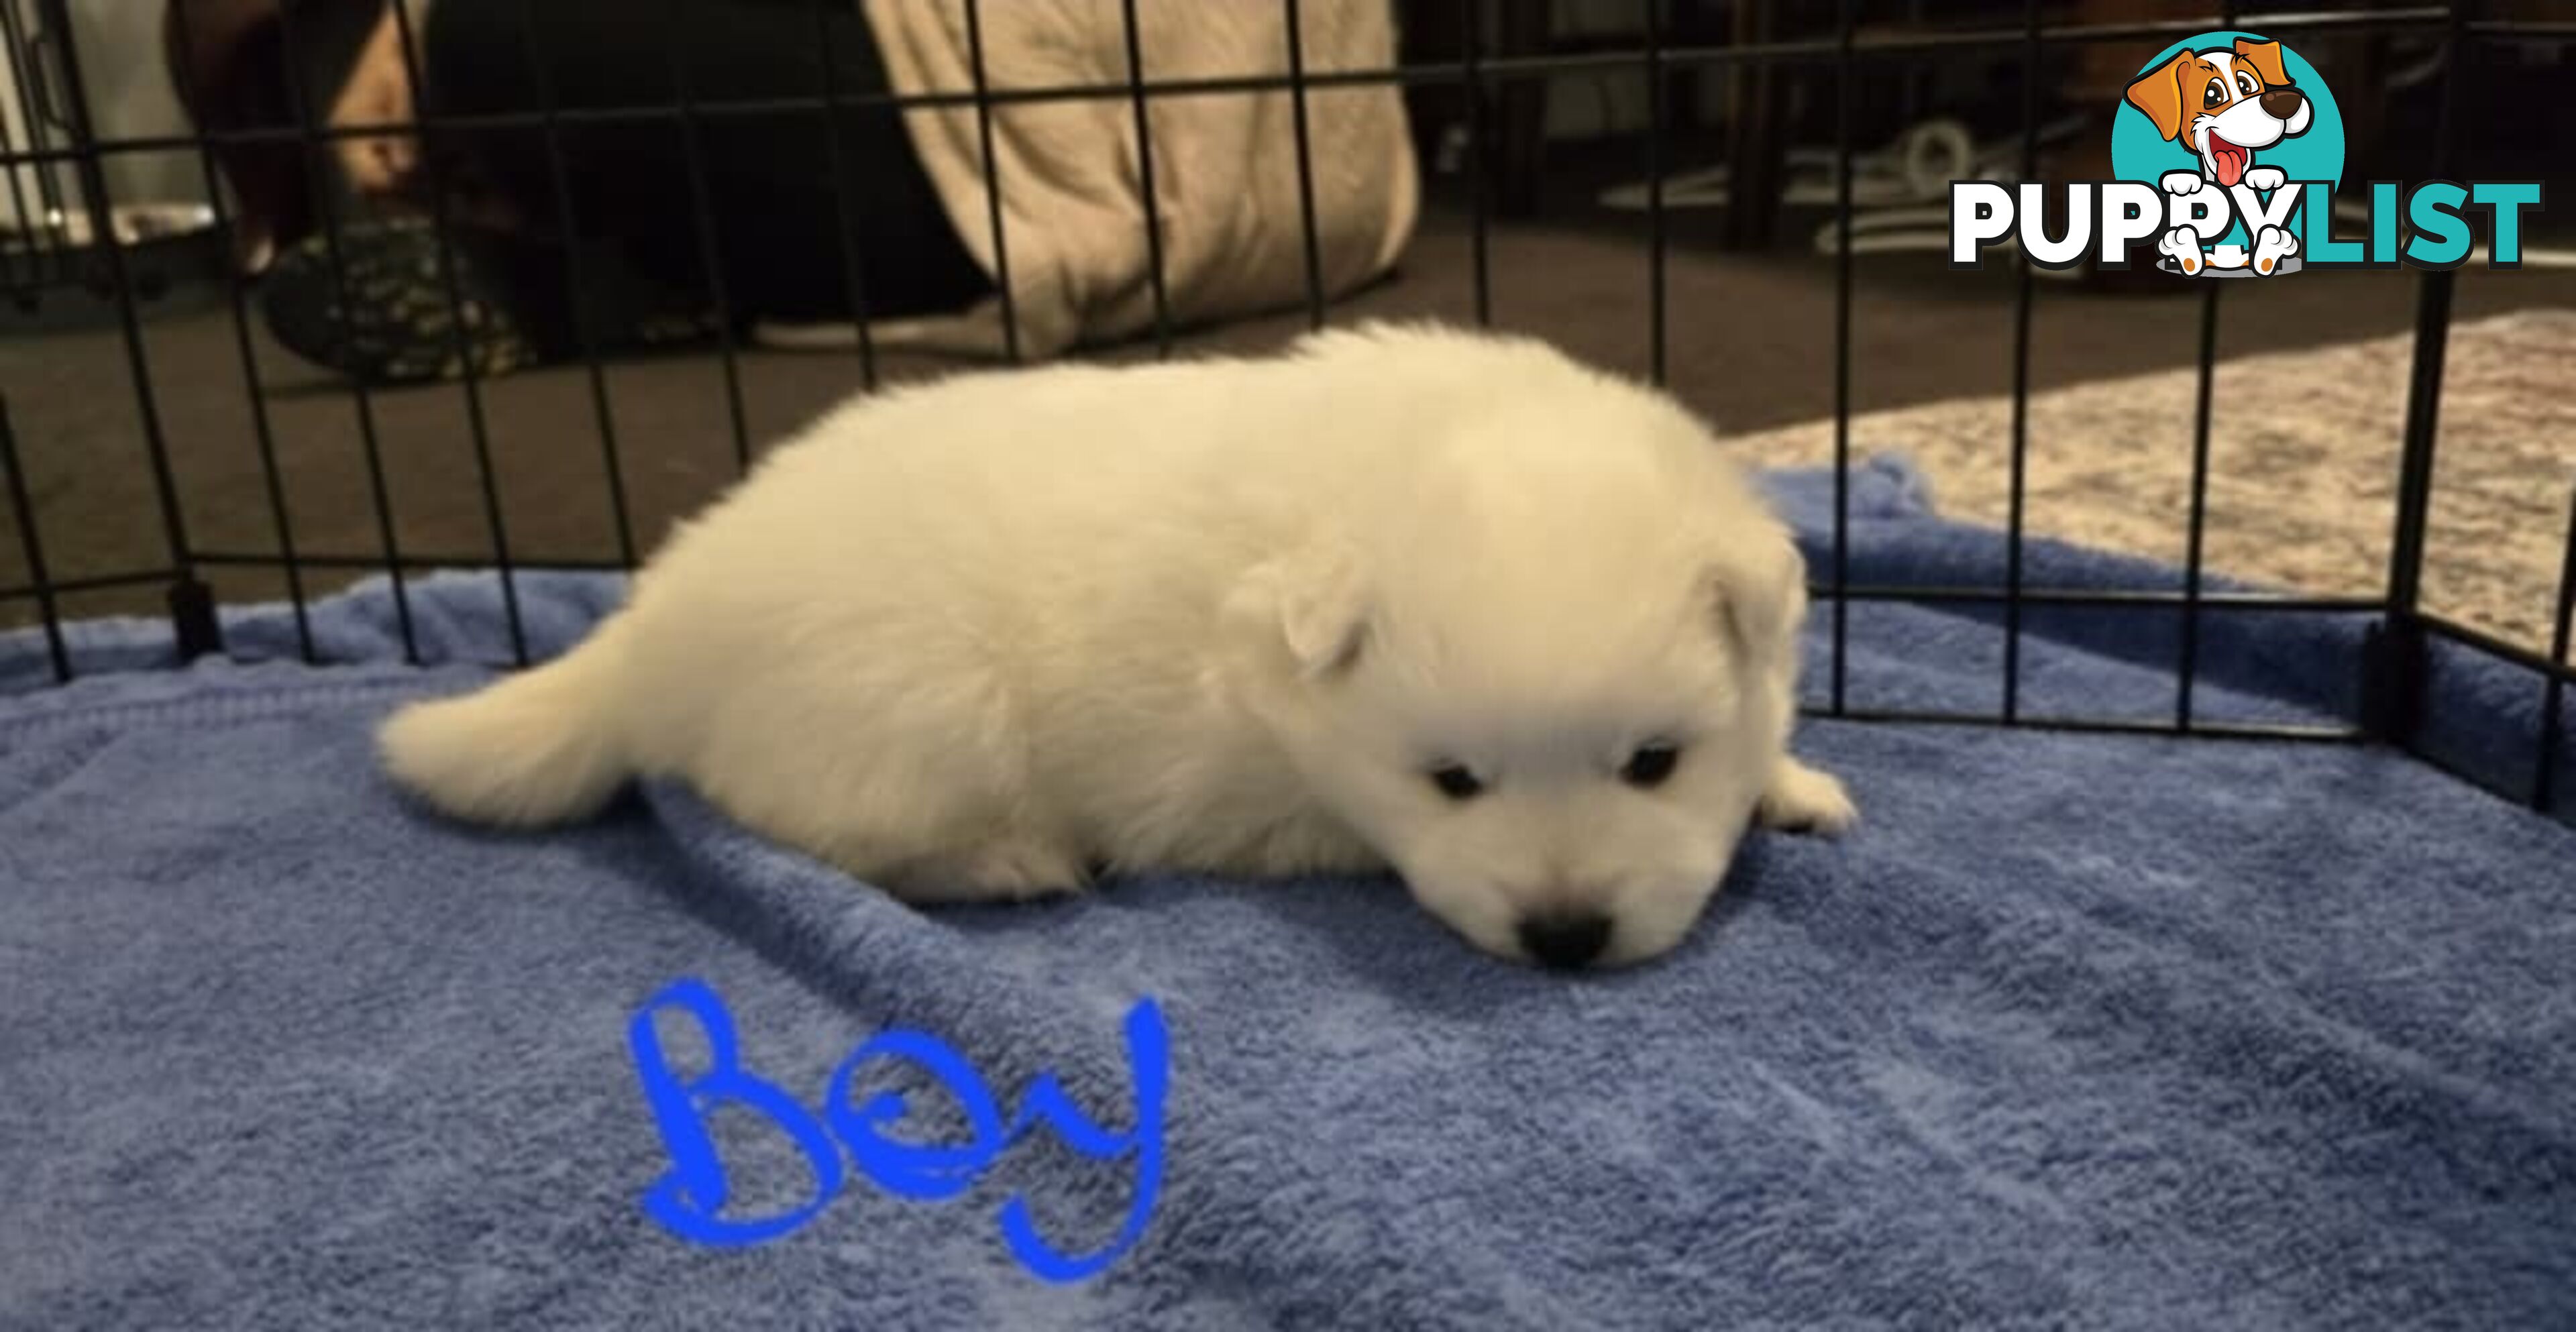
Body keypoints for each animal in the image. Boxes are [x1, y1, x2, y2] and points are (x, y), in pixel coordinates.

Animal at [376, 322, 1854, 963]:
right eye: (1450, 783)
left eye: (1656, 762)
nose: (1563, 937)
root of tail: (657, 621)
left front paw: (1794, 786)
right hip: (913, 721)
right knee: (822, 836)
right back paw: (1010, 861)